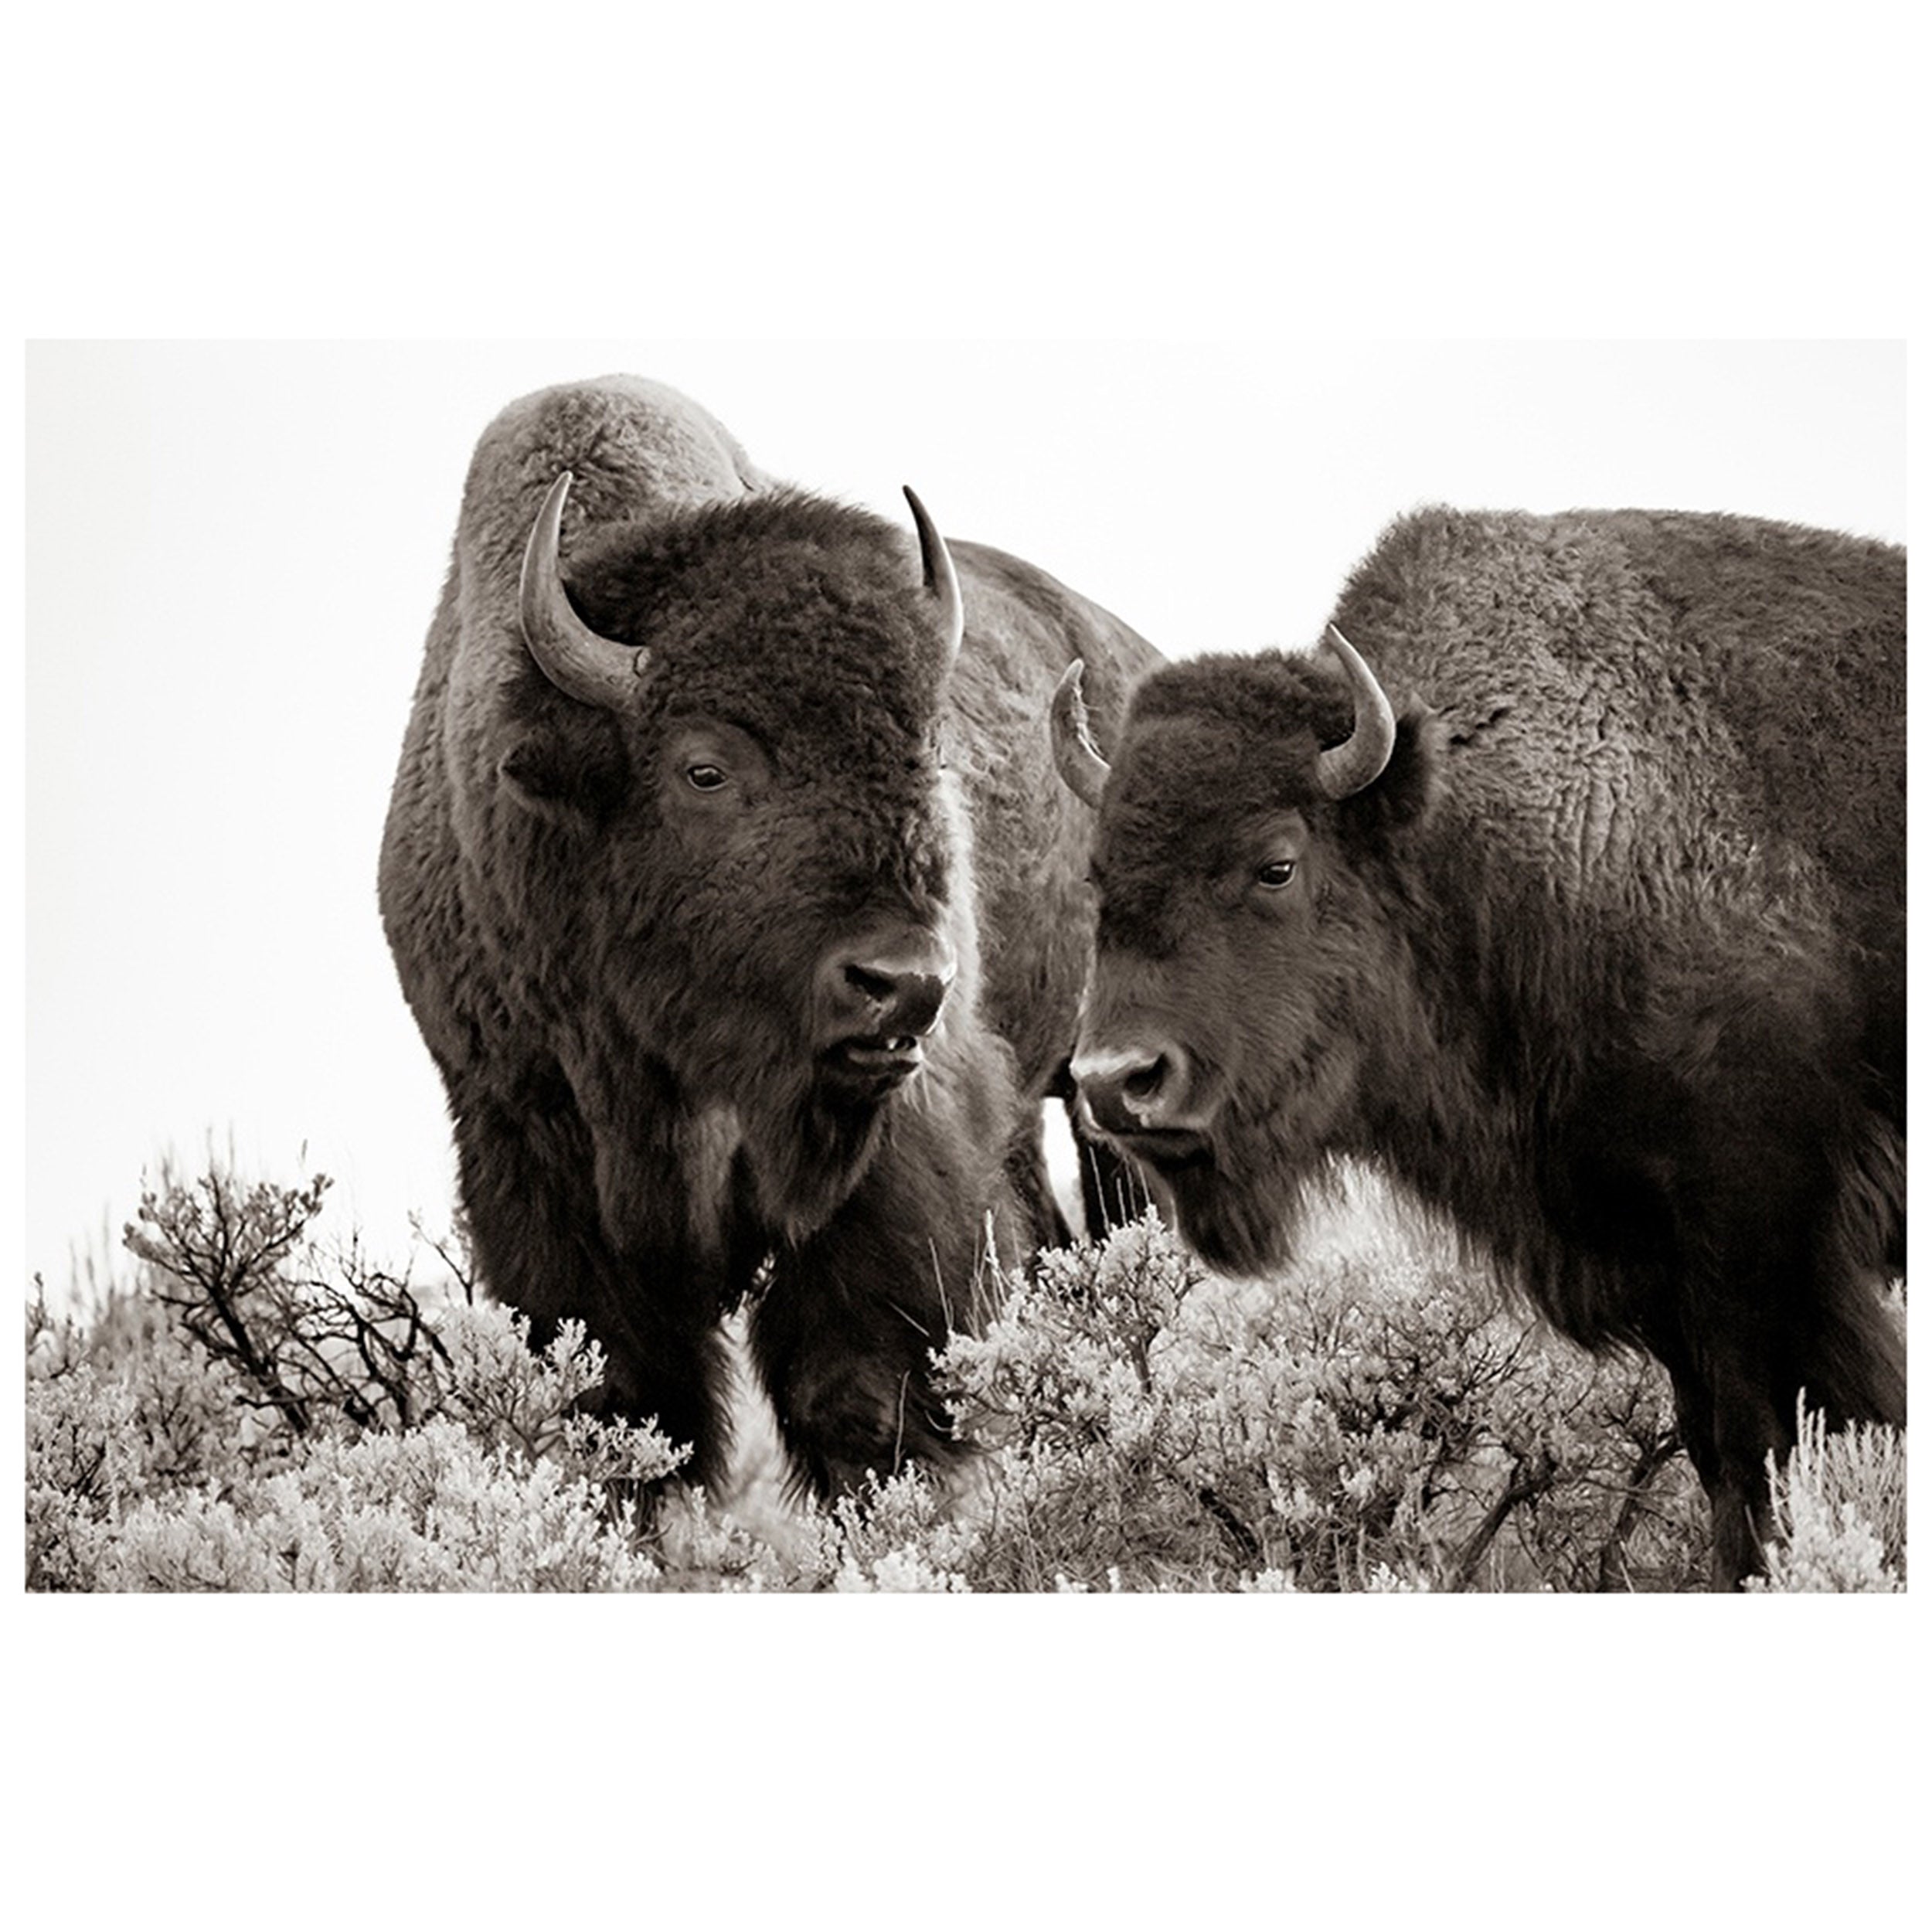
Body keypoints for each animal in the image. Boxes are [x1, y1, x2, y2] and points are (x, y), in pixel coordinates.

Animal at [381, 375, 1159, 1495]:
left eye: (928, 751)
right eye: (704, 768)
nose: (906, 982)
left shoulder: (895, 1144)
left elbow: (859, 1389)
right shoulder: (524, 1143)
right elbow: (631, 1410)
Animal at [1055, 505, 1904, 1587]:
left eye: (1276, 864)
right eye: (1097, 876)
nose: (1116, 1083)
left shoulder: (1764, 1243)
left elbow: (1770, 1451)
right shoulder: (1657, 1260)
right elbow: (1721, 1460)